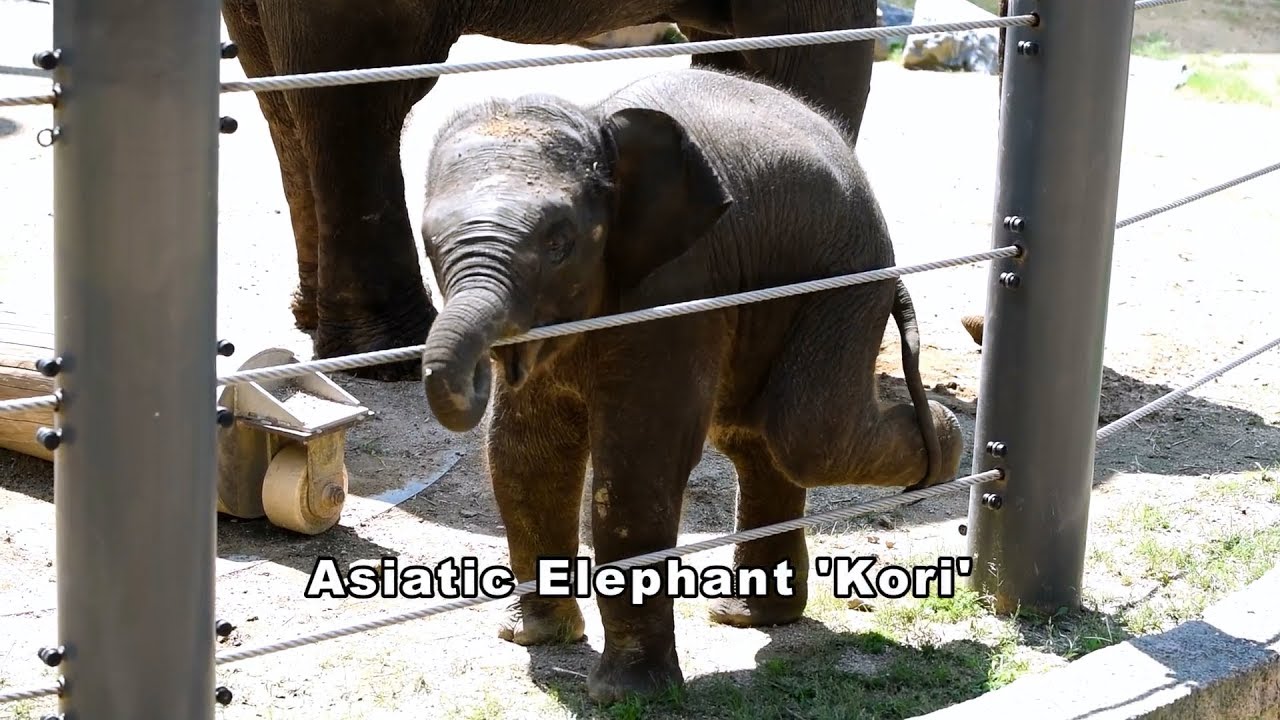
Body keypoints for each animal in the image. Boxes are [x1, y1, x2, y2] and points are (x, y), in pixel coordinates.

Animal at [416, 67, 966, 703]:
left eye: (559, 242)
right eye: (429, 245)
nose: (483, 369)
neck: (597, 124)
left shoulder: (678, 291)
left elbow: (637, 468)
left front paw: (627, 695)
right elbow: (525, 458)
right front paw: (535, 638)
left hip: (846, 277)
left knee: (806, 435)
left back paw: (945, 448)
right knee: (756, 438)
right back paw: (749, 616)